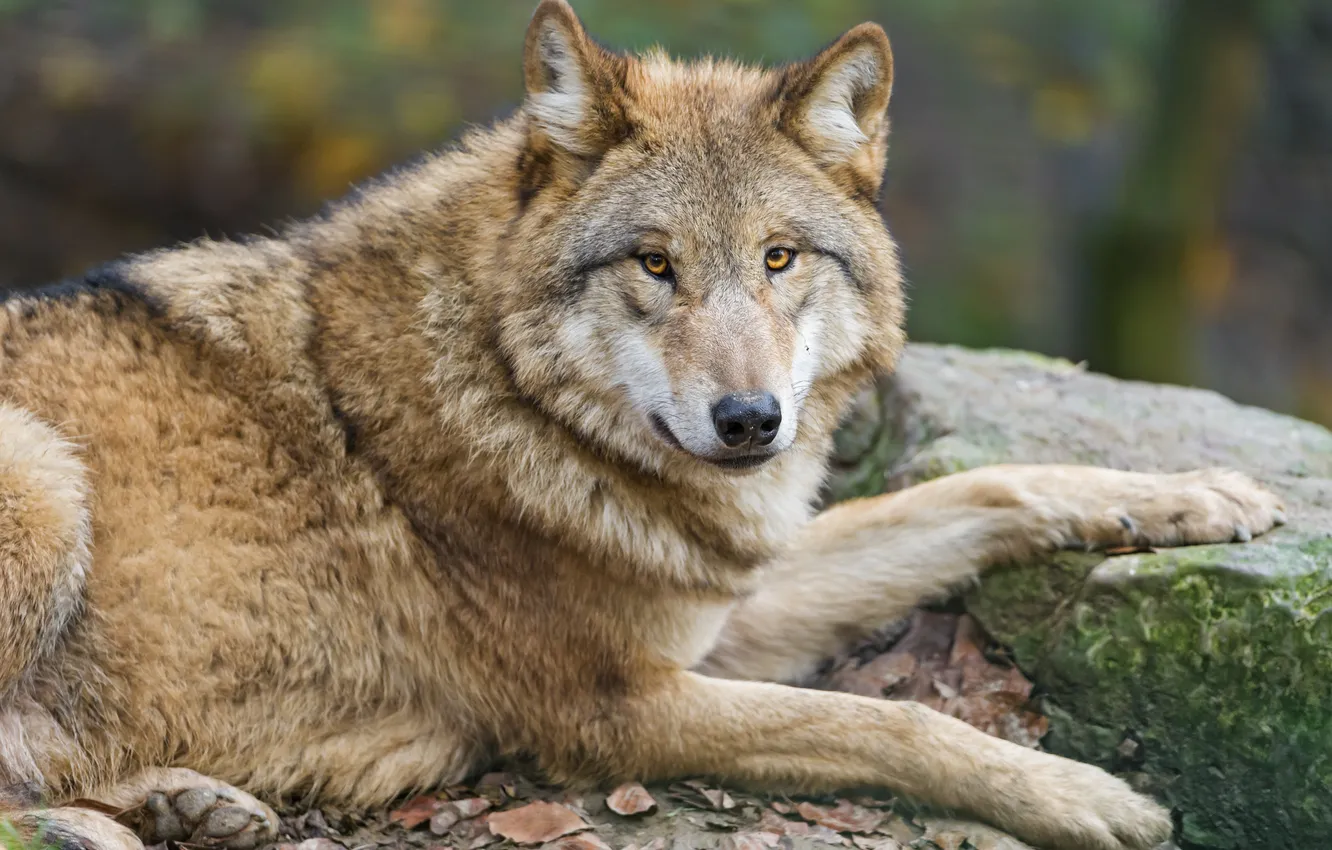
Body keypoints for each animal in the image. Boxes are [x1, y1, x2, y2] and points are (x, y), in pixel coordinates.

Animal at [0, 2, 1285, 849]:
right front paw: (1086, 796)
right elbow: (889, 725)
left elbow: (981, 487)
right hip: (45, 478)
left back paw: (188, 801)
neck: (514, 393)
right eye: (655, 264)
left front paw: (1197, 496)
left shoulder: (728, 602)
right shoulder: (620, 706)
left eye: (778, 258)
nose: (751, 421)